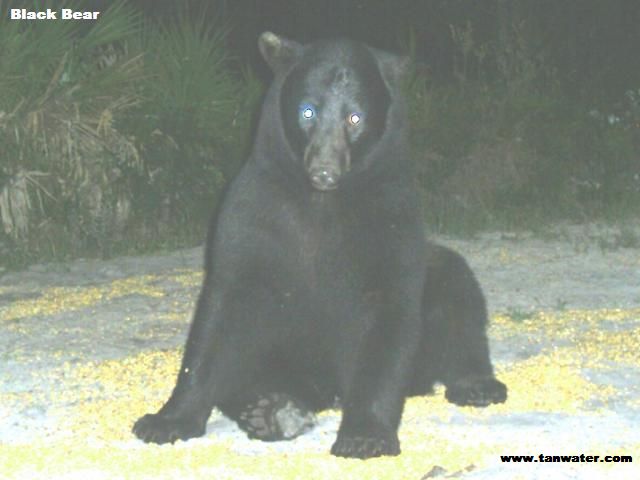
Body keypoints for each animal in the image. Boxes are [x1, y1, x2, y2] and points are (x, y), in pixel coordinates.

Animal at [132, 31, 508, 460]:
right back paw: (271, 410)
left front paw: (365, 435)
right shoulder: (253, 215)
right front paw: (165, 421)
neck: (321, 203)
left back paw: (476, 384)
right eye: (307, 111)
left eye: (355, 117)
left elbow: (389, 317)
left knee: (458, 297)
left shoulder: (390, 218)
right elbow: (219, 315)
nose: (324, 170)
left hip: (438, 283)